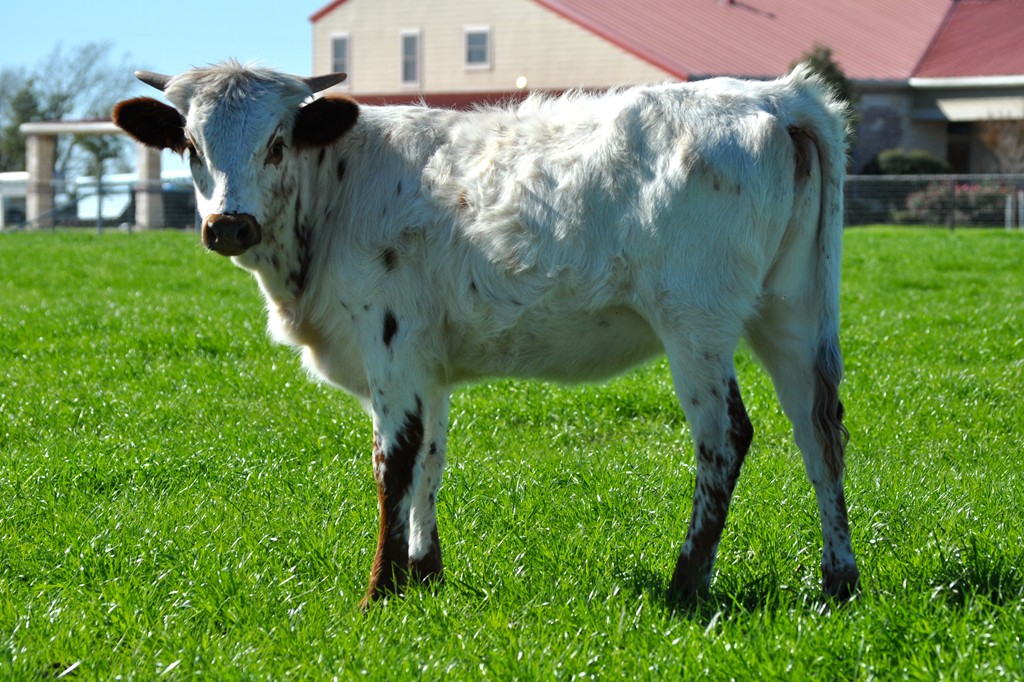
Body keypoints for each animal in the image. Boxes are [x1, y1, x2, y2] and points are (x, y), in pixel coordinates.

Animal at [113, 60, 859, 609]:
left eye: (276, 143)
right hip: (793, 310)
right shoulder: (426, 362)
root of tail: (776, 96)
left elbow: (393, 462)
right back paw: (839, 581)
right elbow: (431, 459)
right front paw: (425, 577)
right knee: (819, 429)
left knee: (726, 438)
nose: (228, 225)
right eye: (190, 146)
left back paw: (685, 582)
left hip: (695, 321)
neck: (335, 192)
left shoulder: (389, 345)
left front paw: (379, 592)